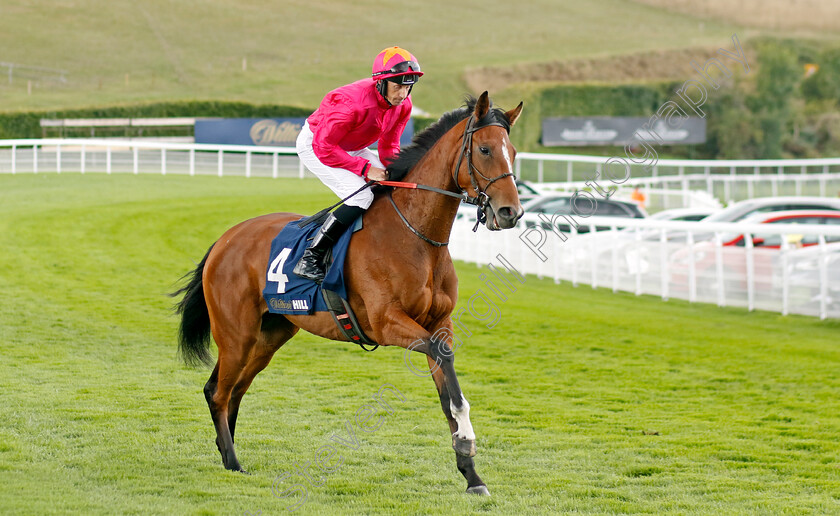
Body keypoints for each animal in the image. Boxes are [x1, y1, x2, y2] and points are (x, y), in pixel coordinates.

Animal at [173, 92, 520, 496]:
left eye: (513, 151)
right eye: (484, 149)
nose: (510, 212)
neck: (416, 236)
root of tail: (225, 239)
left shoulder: (439, 324)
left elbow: (447, 384)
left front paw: (471, 473)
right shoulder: (387, 322)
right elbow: (444, 368)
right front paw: (466, 439)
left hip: (269, 336)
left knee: (233, 391)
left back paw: (226, 452)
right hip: (236, 334)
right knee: (218, 392)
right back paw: (232, 461)